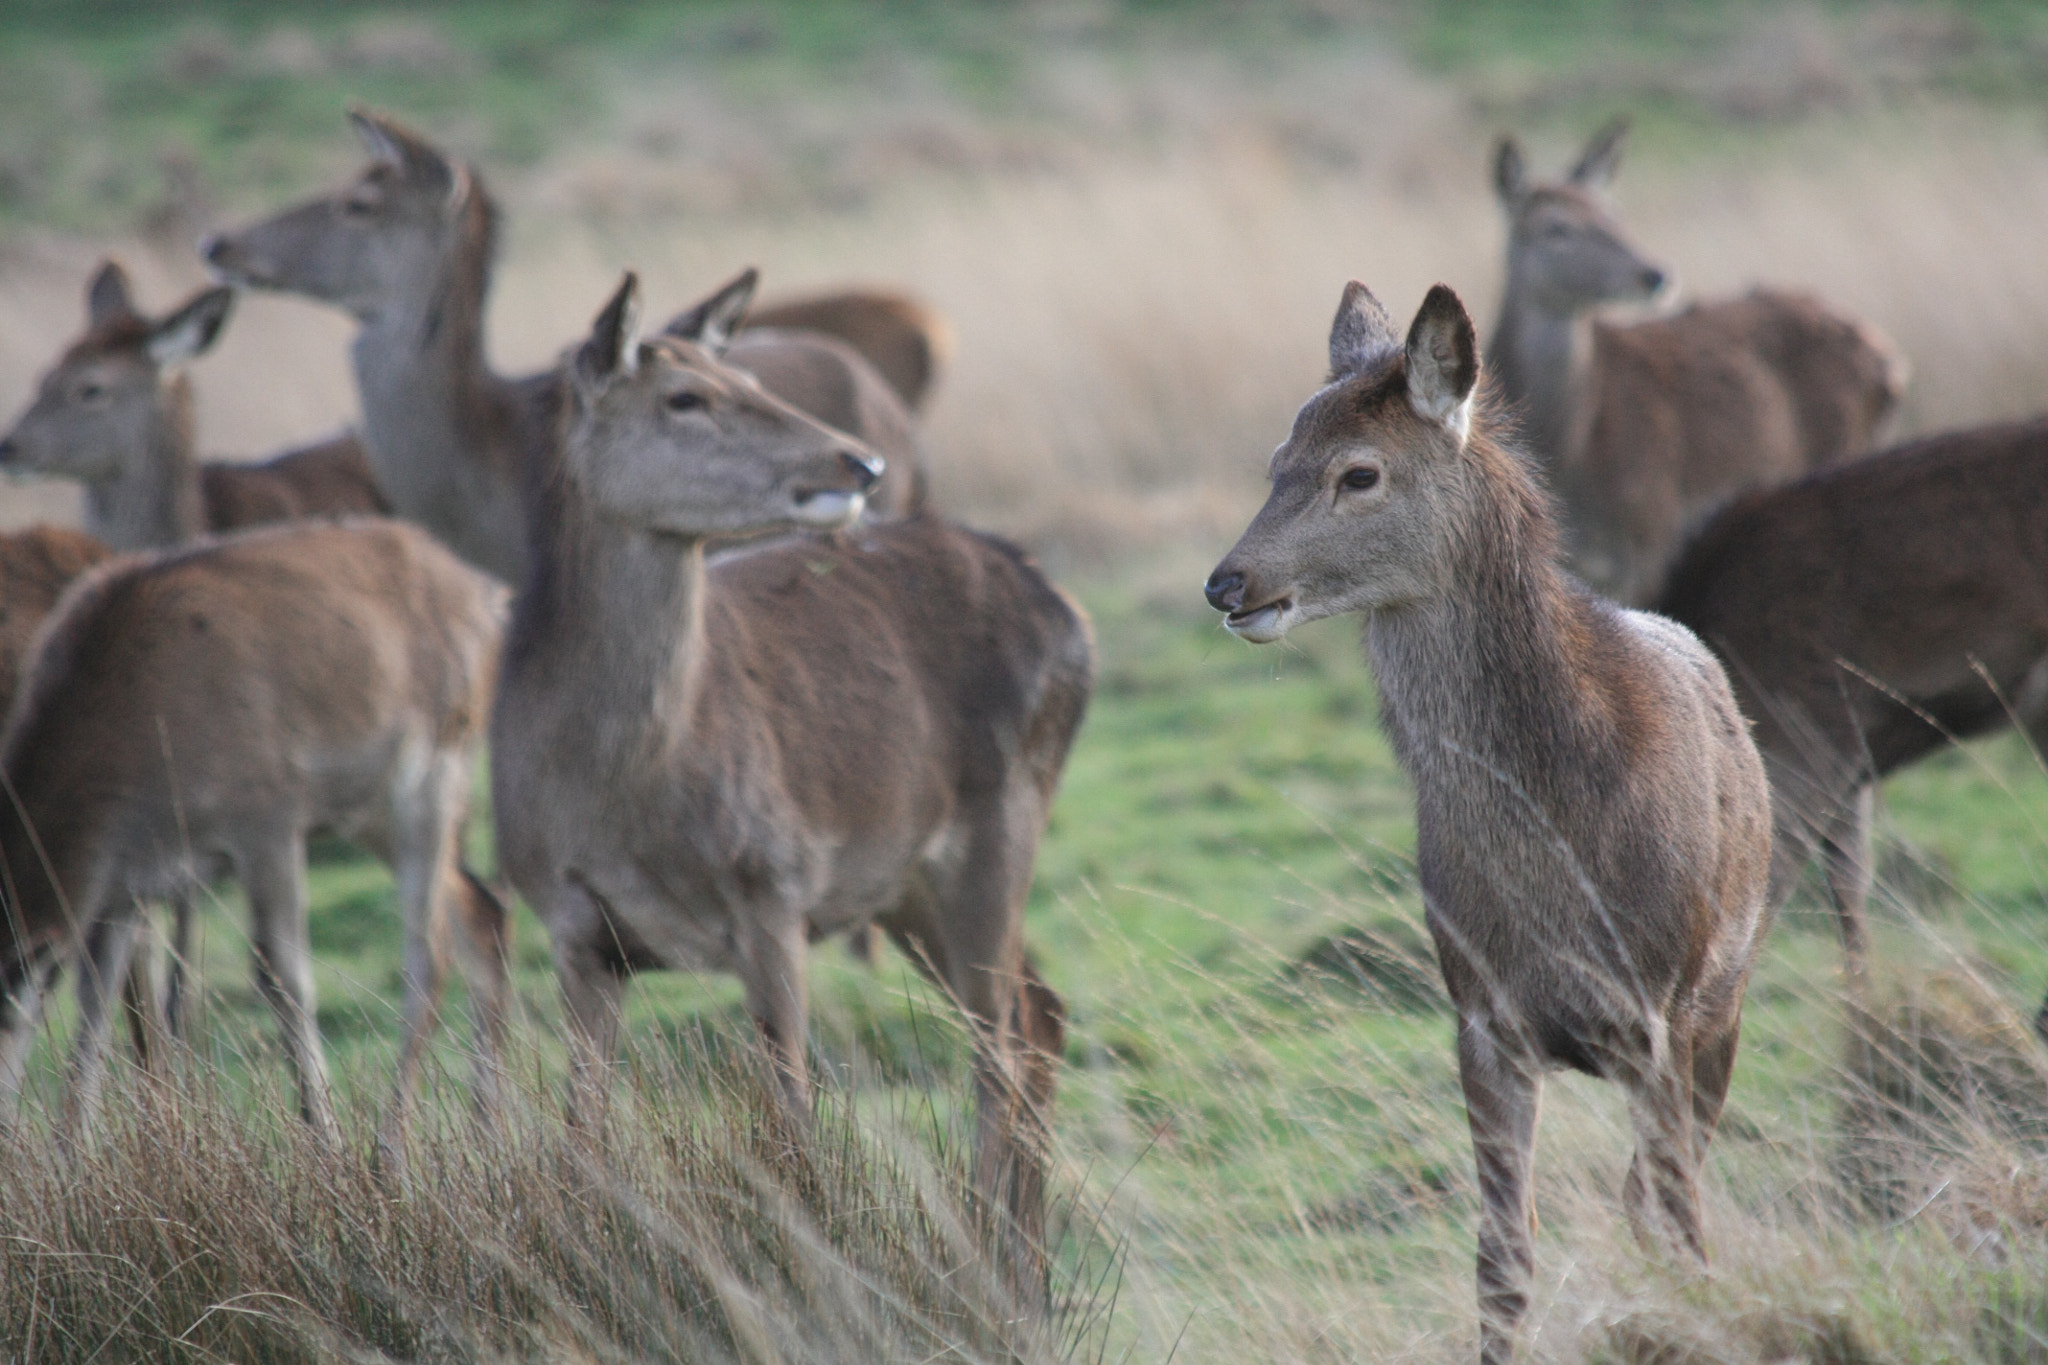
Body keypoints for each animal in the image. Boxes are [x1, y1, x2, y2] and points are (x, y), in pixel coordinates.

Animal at [0, 518, 509, 1155]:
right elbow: (98, 1007)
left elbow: (282, 978)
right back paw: (488, 1137)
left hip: (432, 775)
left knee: (430, 951)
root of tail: (491, 594)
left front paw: (328, 1143)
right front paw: (71, 1158)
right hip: (372, 811)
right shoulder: (124, 886)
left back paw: (388, 1154)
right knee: (483, 911)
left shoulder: (267, 821)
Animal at [490, 271, 1090, 1268]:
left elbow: (791, 1125)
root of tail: (1065, 602)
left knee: (999, 1047)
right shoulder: (576, 927)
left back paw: (987, 1268)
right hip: (906, 885)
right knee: (1038, 1011)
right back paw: (1027, 1274)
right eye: (684, 397)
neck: (618, 800)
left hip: (1002, 823)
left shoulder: (771, 884)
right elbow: (582, 1137)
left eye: (745, 375)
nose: (860, 463)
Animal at [1205, 282, 1773, 1365]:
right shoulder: (1479, 1015)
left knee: (1667, 1198)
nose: (1227, 584)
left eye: (1359, 472)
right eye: (1274, 463)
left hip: (1724, 994)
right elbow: (1502, 1259)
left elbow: (1683, 1224)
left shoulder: (1659, 1010)